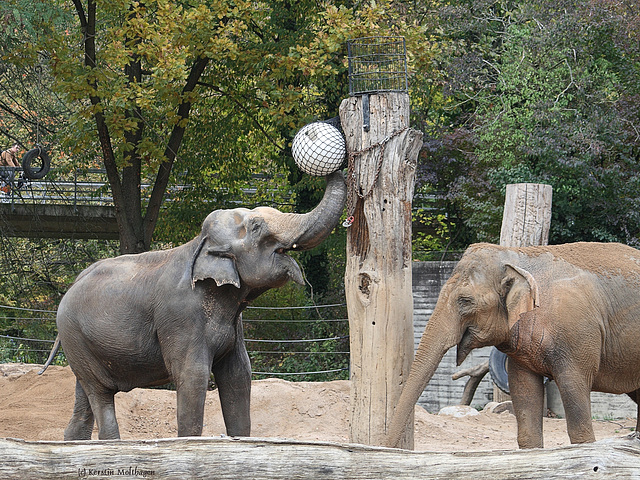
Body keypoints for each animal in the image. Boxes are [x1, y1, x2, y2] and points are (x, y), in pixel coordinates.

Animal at [41, 172, 344, 438]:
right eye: (257, 227)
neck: (199, 244)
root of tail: (72, 285)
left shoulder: (235, 324)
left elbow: (238, 375)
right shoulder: (180, 316)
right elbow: (193, 376)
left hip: (79, 345)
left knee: (83, 401)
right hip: (75, 336)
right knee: (100, 393)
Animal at [384, 244, 640, 450]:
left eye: (465, 301)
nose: (387, 448)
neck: (516, 255)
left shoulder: (577, 334)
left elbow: (575, 395)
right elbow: (524, 395)